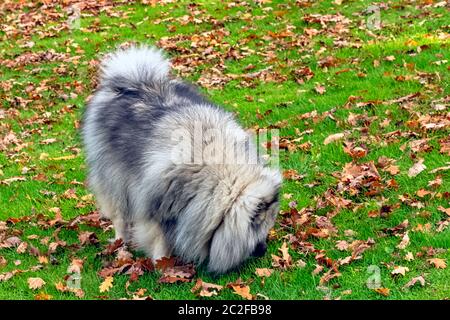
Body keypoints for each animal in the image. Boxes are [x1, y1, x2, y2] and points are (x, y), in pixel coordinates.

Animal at [83, 45, 282, 274]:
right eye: (260, 230)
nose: (264, 250)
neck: (220, 175)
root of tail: (136, 82)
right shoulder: (158, 211)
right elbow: (161, 241)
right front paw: (163, 266)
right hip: (114, 181)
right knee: (119, 217)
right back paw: (120, 243)